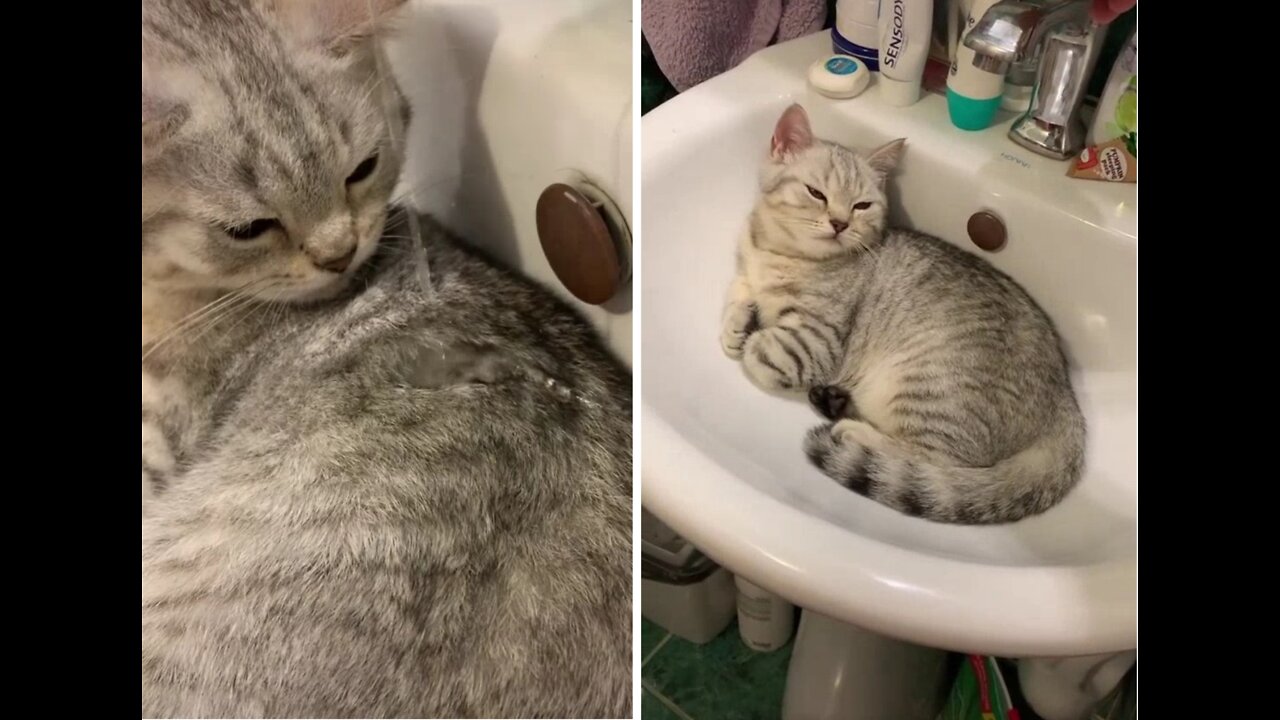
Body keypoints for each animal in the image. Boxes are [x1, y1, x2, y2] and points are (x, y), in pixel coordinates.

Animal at [721, 103, 1080, 520]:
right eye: (816, 194)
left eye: (862, 205)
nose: (840, 223)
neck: (778, 253)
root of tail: (1065, 400)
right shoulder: (747, 267)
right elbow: (738, 291)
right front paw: (737, 323)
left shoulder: (816, 342)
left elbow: (760, 354)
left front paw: (751, 335)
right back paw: (834, 401)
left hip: (928, 389)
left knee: (944, 465)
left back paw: (854, 431)